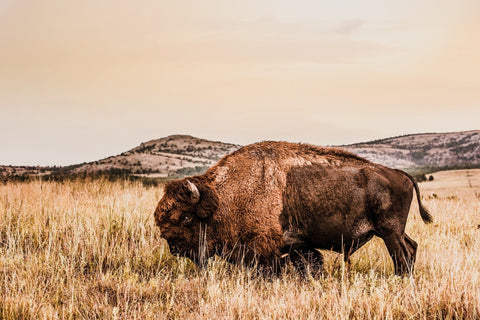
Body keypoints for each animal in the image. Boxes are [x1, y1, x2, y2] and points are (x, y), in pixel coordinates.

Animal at [154, 141, 432, 276]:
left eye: (186, 217)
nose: (172, 245)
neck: (225, 197)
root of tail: (400, 174)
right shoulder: (296, 246)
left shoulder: (265, 247)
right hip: (392, 231)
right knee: (412, 246)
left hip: (389, 231)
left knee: (402, 255)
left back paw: (400, 279)